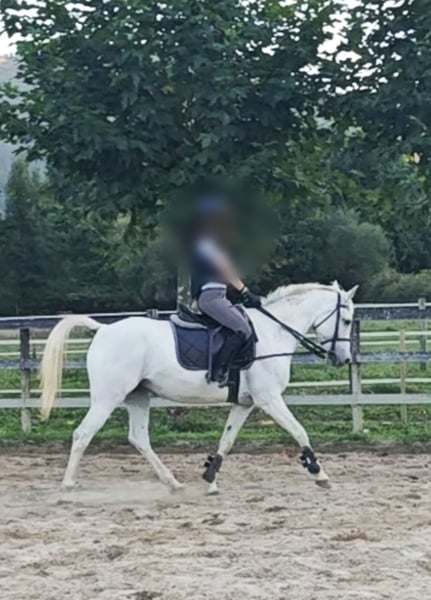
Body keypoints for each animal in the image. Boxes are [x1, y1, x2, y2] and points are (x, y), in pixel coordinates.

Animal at [39, 281, 358, 494]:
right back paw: (67, 486)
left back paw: (173, 483)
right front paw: (318, 472)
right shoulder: (269, 399)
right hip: (107, 397)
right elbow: (299, 430)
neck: (274, 332)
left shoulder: (245, 403)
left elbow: (226, 441)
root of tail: (104, 329)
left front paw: (210, 479)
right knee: (83, 434)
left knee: (139, 438)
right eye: (346, 320)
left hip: (138, 397)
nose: (344, 359)